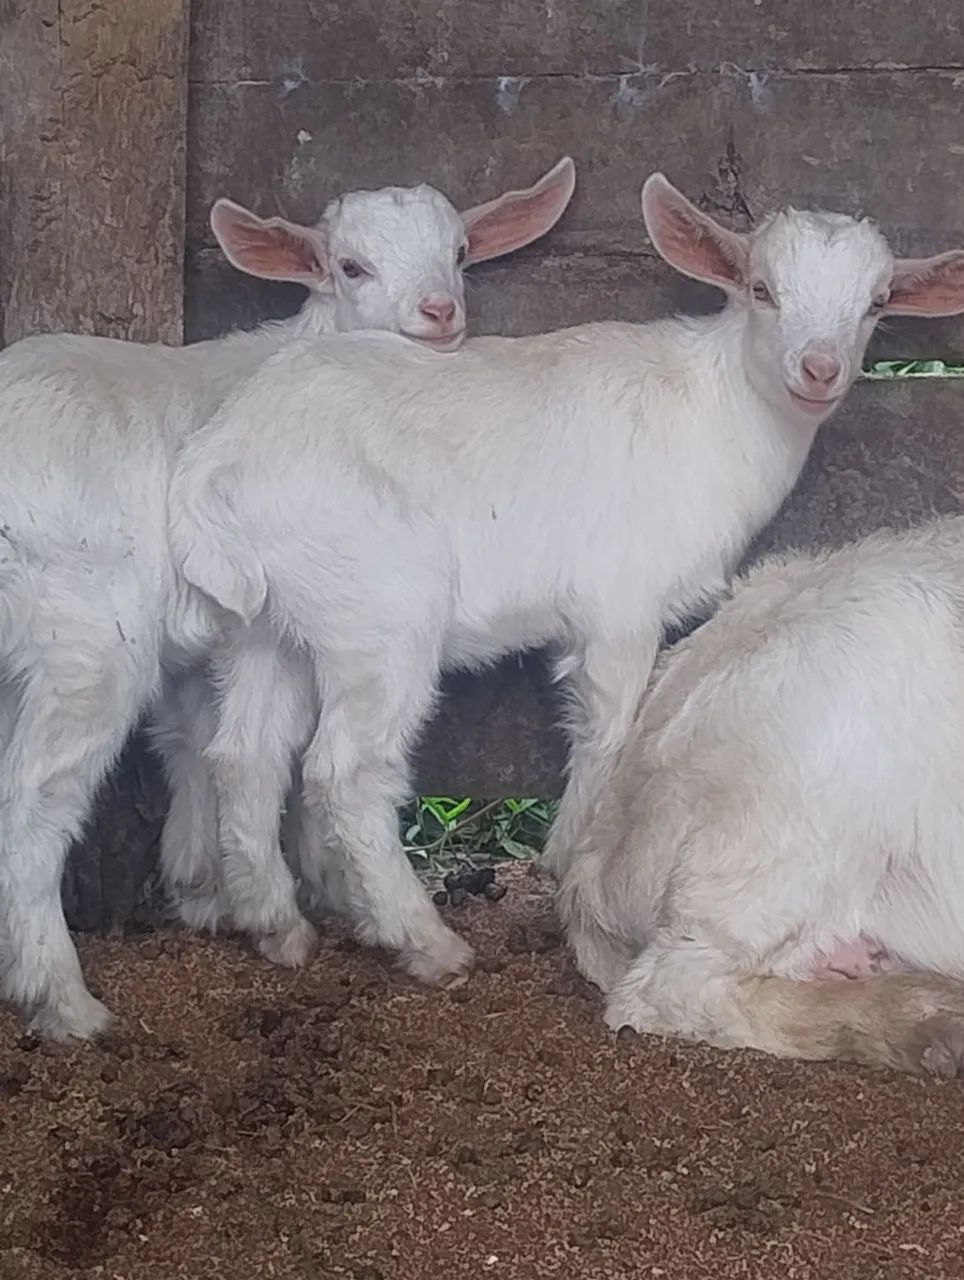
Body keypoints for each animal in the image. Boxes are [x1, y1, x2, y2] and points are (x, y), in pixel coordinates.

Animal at [0, 159, 576, 1039]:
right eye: (351, 266)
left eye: (460, 251)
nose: (439, 312)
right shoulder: (252, 626)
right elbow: (266, 753)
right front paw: (298, 893)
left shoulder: (212, 649)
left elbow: (197, 744)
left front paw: (212, 888)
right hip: (85, 639)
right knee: (35, 798)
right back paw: (63, 1000)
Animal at [168, 172, 964, 993]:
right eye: (761, 288)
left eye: (876, 302)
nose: (819, 370)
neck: (715, 409)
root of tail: (216, 463)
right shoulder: (620, 605)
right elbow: (608, 730)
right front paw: (569, 856)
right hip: (381, 615)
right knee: (346, 772)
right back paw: (425, 942)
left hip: (268, 625)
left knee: (244, 754)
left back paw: (276, 925)